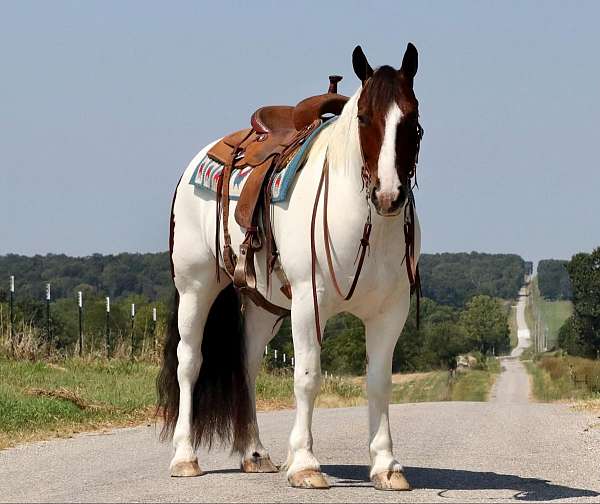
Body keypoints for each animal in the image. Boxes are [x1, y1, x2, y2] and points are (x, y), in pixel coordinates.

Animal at [157, 45, 424, 490]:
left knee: (246, 364)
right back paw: (184, 457)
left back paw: (254, 453)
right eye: (363, 117)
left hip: (263, 307)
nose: (388, 195)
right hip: (196, 287)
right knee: (189, 362)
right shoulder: (307, 302)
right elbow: (308, 377)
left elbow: (379, 383)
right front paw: (304, 464)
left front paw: (386, 465)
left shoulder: (391, 311)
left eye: (413, 120)